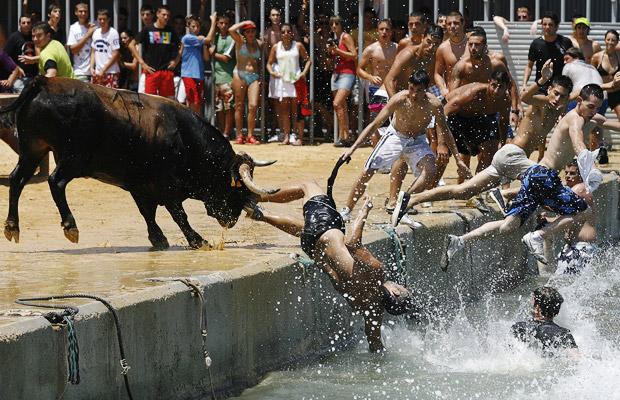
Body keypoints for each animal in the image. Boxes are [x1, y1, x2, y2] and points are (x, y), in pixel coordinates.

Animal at [0, 76, 278, 250]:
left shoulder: (140, 186)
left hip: (33, 150)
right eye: (236, 187)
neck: (186, 139)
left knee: (16, 180)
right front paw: (198, 241)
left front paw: (158, 239)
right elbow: (179, 214)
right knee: (55, 182)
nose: (233, 219)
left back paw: (12, 226)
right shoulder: (167, 186)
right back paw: (70, 226)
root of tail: (44, 82)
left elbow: (148, 213)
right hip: (72, 158)